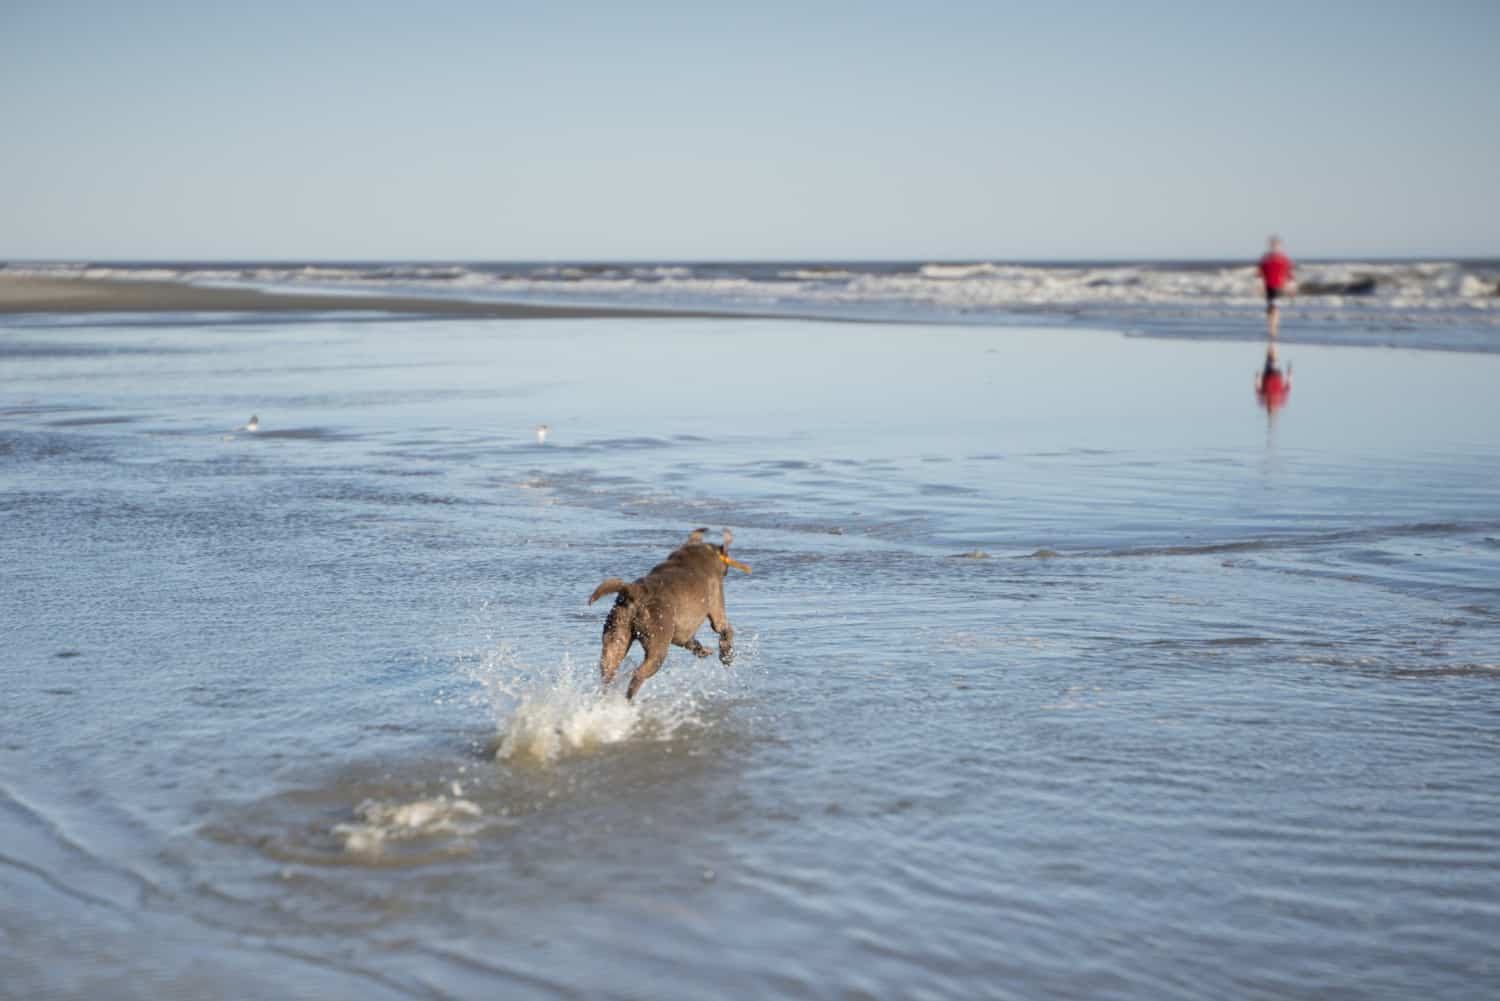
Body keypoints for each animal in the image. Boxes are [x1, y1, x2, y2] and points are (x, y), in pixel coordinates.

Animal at [585, 528, 750, 702]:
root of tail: (635, 592)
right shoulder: (716, 608)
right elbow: (726, 630)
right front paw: (727, 655)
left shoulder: (682, 634)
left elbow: (692, 642)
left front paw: (705, 651)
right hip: (657, 644)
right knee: (638, 674)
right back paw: (629, 700)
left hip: (616, 636)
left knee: (608, 673)